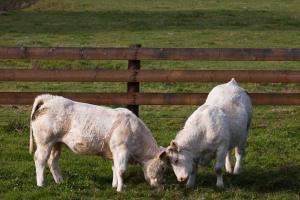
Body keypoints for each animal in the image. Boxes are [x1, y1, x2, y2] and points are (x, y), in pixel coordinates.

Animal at [29, 94, 168, 191]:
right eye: (163, 167)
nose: (161, 185)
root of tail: (49, 98)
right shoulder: (121, 149)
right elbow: (121, 170)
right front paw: (120, 189)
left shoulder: (114, 152)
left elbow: (115, 168)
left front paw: (114, 185)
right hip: (45, 142)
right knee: (40, 159)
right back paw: (41, 184)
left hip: (56, 143)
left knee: (52, 161)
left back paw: (60, 181)